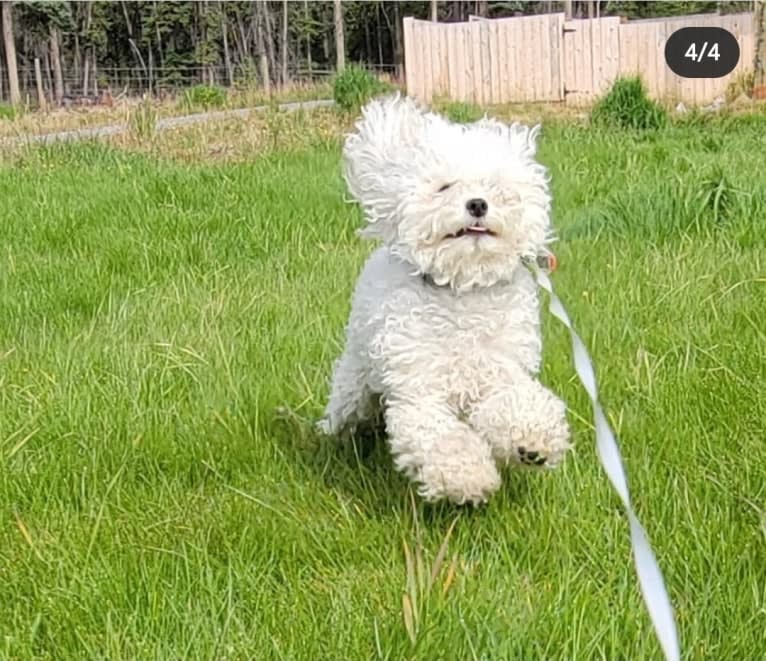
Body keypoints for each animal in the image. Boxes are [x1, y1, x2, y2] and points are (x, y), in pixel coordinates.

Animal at [318, 94, 568, 506]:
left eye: (496, 187)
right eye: (444, 187)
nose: (478, 204)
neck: (461, 293)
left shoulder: (499, 373)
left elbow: (517, 403)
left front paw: (531, 441)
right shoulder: (419, 389)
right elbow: (441, 437)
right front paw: (467, 478)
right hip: (357, 376)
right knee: (347, 408)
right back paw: (330, 434)